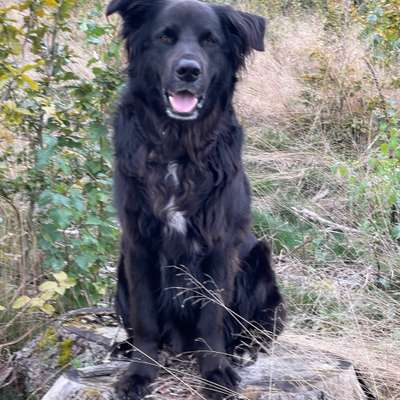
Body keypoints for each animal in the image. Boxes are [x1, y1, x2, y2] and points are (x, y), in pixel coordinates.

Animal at [106, 1, 286, 398]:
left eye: (210, 41)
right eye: (164, 37)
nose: (188, 70)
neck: (178, 145)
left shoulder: (220, 244)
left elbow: (212, 317)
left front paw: (215, 371)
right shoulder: (138, 242)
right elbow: (144, 316)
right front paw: (140, 371)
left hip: (258, 258)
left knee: (262, 324)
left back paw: (245, 347)